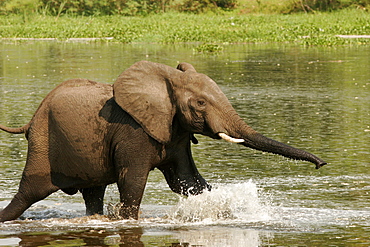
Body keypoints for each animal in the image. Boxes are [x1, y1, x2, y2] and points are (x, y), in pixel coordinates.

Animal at [0, 61, 324, 222]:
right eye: (201, 103)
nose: (321, 164)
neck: (166, 81)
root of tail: (31, 118)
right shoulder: (133, 131)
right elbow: (132, 180)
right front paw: (127, 219)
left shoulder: (176, 132)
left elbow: (186, 181)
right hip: (43, 139)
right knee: (29, 193)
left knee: (93, 194)